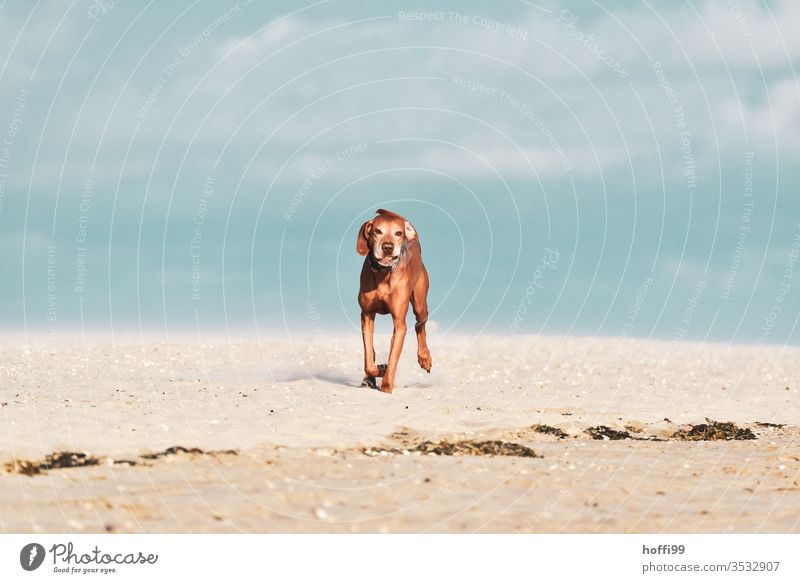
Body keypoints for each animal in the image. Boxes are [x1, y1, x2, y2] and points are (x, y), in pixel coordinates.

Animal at [356, 208, 432, 394]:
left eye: (398, 233)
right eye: (377, 231)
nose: (388, 247)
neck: (383, 274)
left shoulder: (399, 323)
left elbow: (393, 358)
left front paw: (386, 386)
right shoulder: (367, 316)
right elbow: (368, 357)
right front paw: (377, 371)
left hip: (420, 302)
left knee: (420, 325)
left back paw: (424, 357)